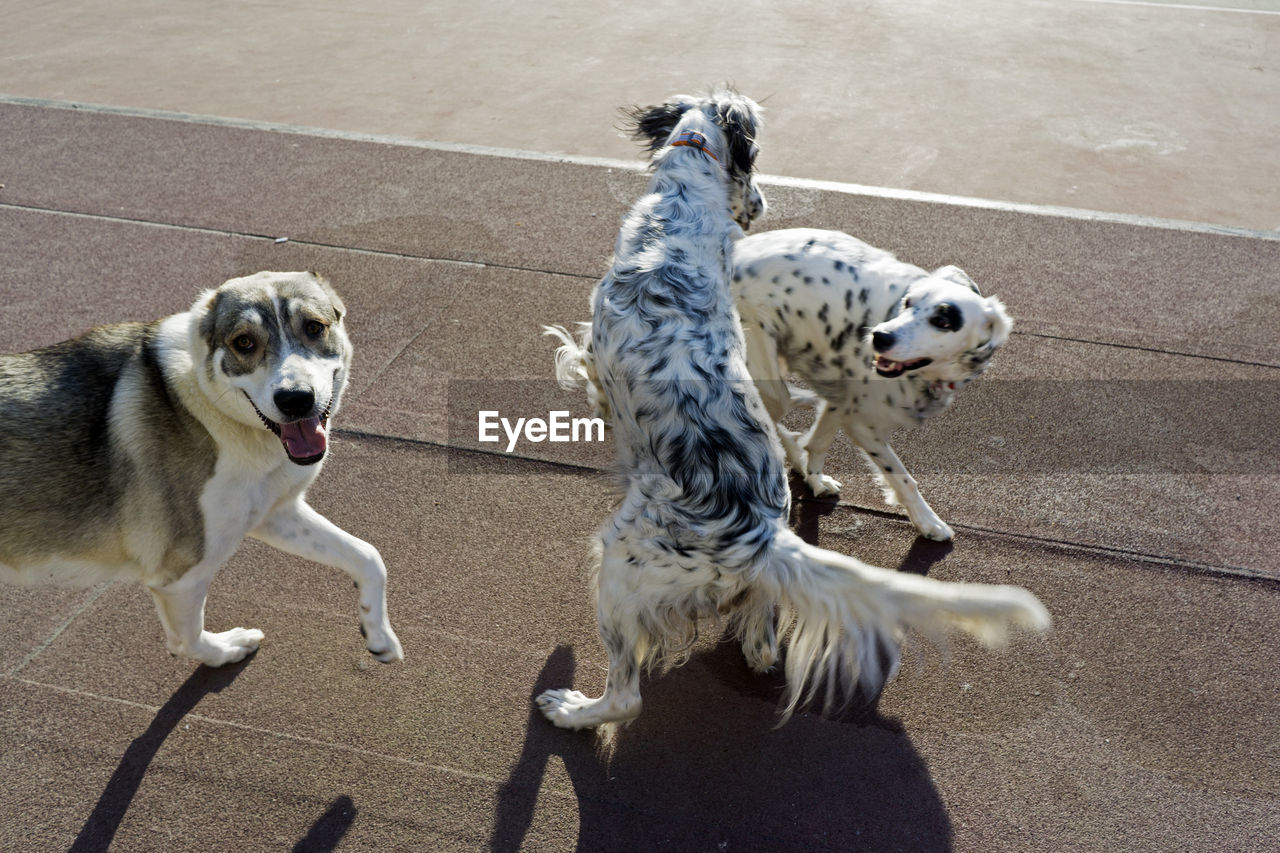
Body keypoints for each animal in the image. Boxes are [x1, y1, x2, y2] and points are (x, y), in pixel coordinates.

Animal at [0, 270, 404, 666]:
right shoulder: (181, 575)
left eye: (314, 327)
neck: (206, 404)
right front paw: (226, 650)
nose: (295, 400)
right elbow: (187, 641)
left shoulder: (275, 514)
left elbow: (369, 556)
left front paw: (379, 635)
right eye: (244, 342)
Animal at [737, 225, 1013, 537]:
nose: (879, 336)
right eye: (908, 303)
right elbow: (903, 479)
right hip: (767, 375)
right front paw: (928, 522)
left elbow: (819, 442)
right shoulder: (863, 423)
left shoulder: (844, 400)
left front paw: (814, 478)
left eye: (943, 321)